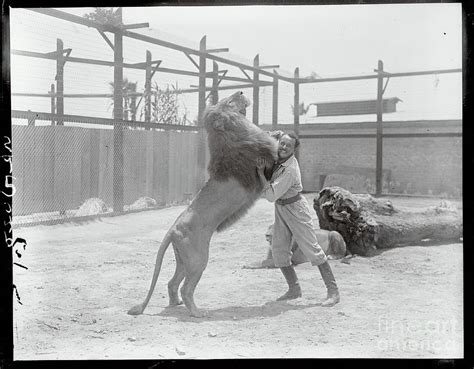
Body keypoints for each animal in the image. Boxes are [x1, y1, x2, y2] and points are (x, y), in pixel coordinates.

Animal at [128, 91, 280, 316]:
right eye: (229, 101)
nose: (241, 92)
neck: (232, 132)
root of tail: (172, 229)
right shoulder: (266, 160)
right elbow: (275, 146)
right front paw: (279, 134)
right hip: (198, 260)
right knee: (185, 288)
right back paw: (197, 312)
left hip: (184, 260)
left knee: (172, 283)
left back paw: (175, 304)